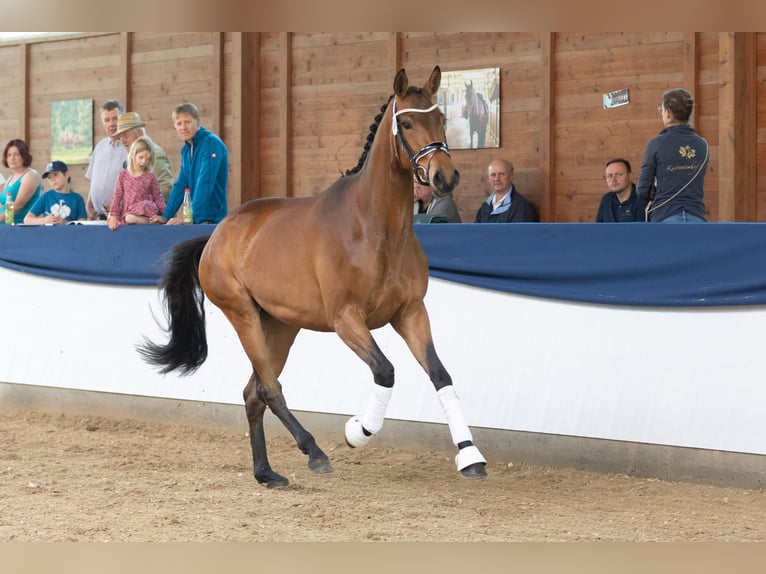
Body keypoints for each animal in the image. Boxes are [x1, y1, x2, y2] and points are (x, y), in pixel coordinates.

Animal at [140, 66, 486, 490]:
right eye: (406, 122)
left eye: (440, 119)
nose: (444, 177)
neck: (377, 229)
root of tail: (217, 233)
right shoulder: (346, 318)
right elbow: (385, 371)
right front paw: (358, 431)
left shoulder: (410, 313)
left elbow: (439, 373)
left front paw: (470, 456)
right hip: (243, 316)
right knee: (269, 388)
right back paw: (314, 451)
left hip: (281, 325)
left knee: (253, 393)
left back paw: (266, 473)